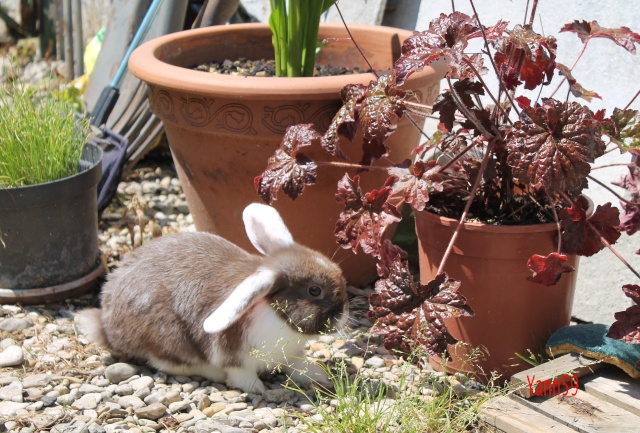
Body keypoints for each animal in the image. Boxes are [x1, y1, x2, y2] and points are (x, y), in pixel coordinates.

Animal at [79, 202, 350, 392]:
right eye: (314, 290)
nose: (344, 314)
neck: (274, 314)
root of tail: (106, 325)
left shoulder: (292, 353)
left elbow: (298, 365)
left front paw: (318, 375)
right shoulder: (235, 357)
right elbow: (242, 374)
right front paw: (257, 389)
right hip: (166, 336)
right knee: (165, 362)